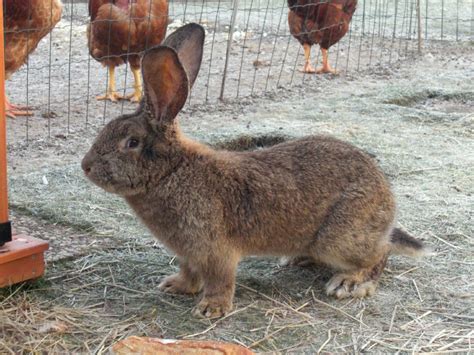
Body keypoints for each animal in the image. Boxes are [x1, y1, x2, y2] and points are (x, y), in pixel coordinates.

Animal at [82, 23, 430, 322]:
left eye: (131, 142)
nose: (85, 166)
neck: (172, 171)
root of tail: (387, 205)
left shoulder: (215, 250)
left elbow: (220, 279)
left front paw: (211, 309)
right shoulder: (188, 253)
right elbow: (189, 273)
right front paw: (175, 285)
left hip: (340, 237)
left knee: (379, 255)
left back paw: (349, 283)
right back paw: (298, 259)